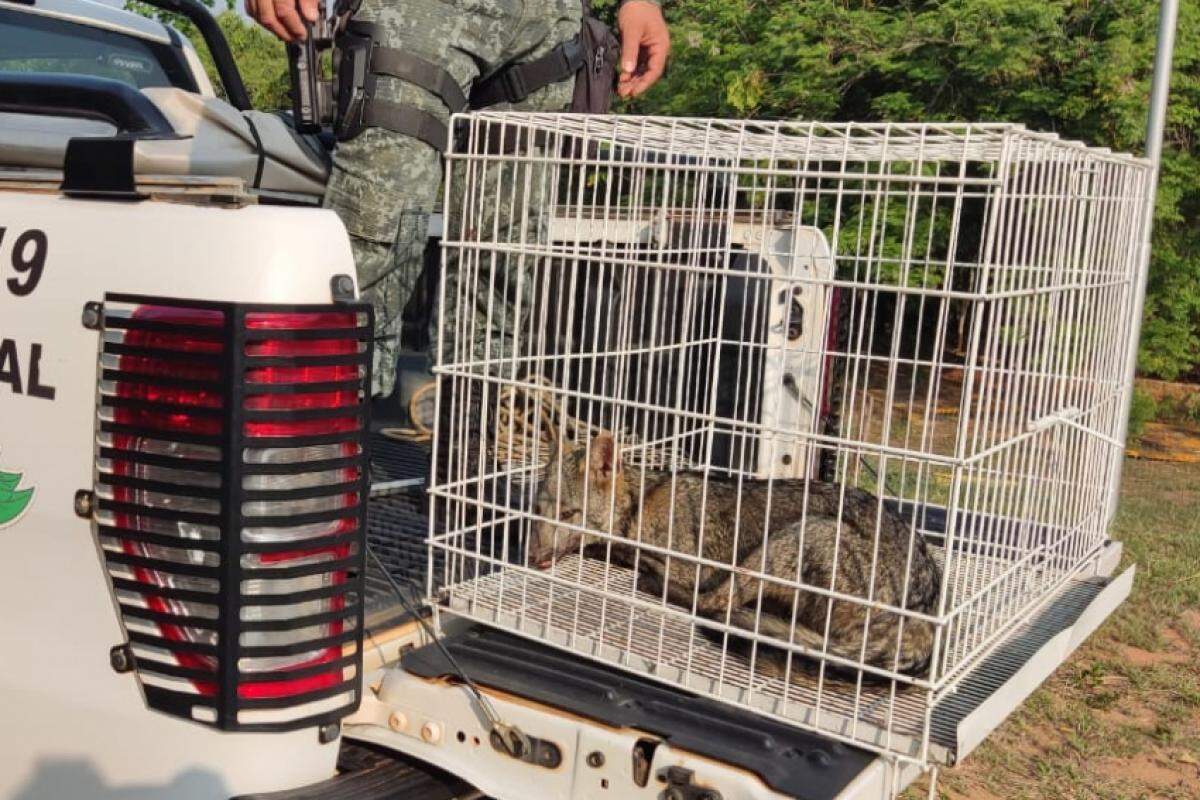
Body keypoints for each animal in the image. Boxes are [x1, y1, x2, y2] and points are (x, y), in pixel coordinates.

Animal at [530, 434, 940, 681]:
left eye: (568, 514)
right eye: (538, 511)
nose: (532, 558)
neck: (640, 504)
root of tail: (923, 613)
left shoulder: (690, 565)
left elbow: (626, 553)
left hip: (789, 540)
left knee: (713, 605)